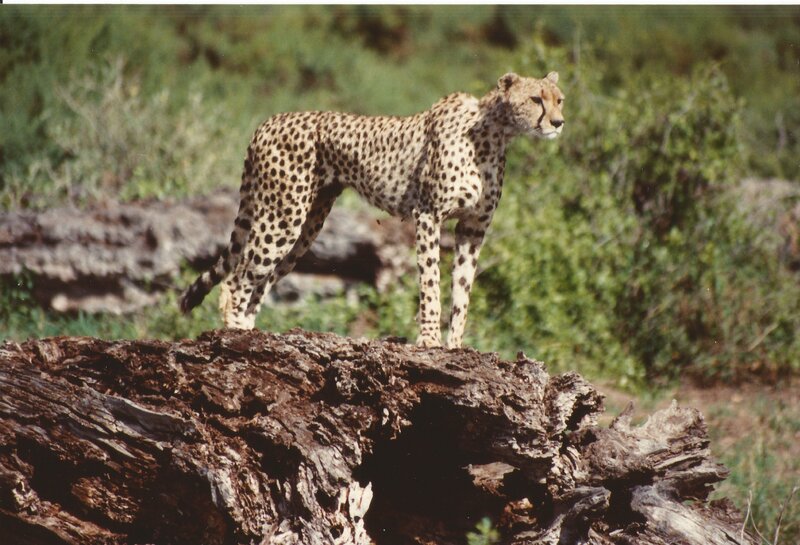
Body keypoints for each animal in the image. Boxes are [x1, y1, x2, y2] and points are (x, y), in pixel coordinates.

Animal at [180, 71, 565, 349]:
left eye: (559, 99)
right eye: (535, 99)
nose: (558, 122)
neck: (494, 134)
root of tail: (268, 121)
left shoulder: (472, 229)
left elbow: (462, 290)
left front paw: (456, 346)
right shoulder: (428, 215)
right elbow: (430, 282)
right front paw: (430, 340)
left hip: (307, 226)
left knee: (263, 278)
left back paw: (252, 331)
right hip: (283, 215)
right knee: (239, 275)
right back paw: (235, 333)